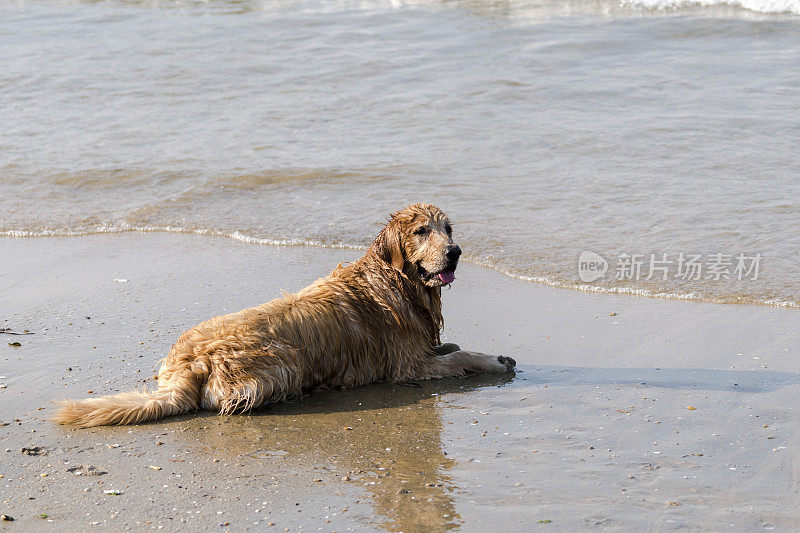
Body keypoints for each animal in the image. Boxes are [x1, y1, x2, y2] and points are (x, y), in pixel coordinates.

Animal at [56, 204, 520, 428]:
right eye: (422, 231)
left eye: (449, 229)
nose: (455, 252)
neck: (394, 278)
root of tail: (188, 365)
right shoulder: (408, 366)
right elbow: (460, 357)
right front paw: (495, 361)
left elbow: (450, 346)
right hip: (285, 360)